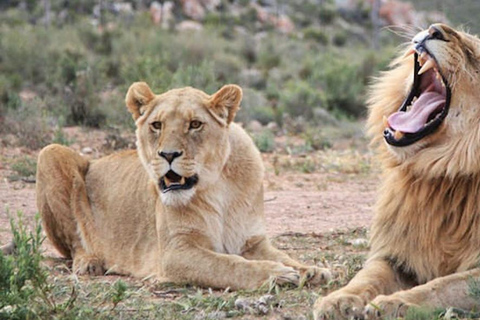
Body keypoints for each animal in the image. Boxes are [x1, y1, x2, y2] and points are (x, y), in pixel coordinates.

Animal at [37, 81, 332, 288]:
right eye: (157, 125)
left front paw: (311, 270)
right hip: (49, 152)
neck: (216, 185)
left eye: (195, 124)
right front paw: (277, 274)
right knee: (73, 245)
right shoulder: (175, 252)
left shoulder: (252, 241)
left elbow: (281, 255)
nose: (168, 155)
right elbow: (229, 265)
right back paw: (90, 262)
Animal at [316, 23, 480, 318]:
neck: (442, 174)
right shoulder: (395, 253)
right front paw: (338, 301)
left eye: (473, 54)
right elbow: (367, 276)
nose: (435, 29)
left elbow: (443, 286)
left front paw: (395, 304)